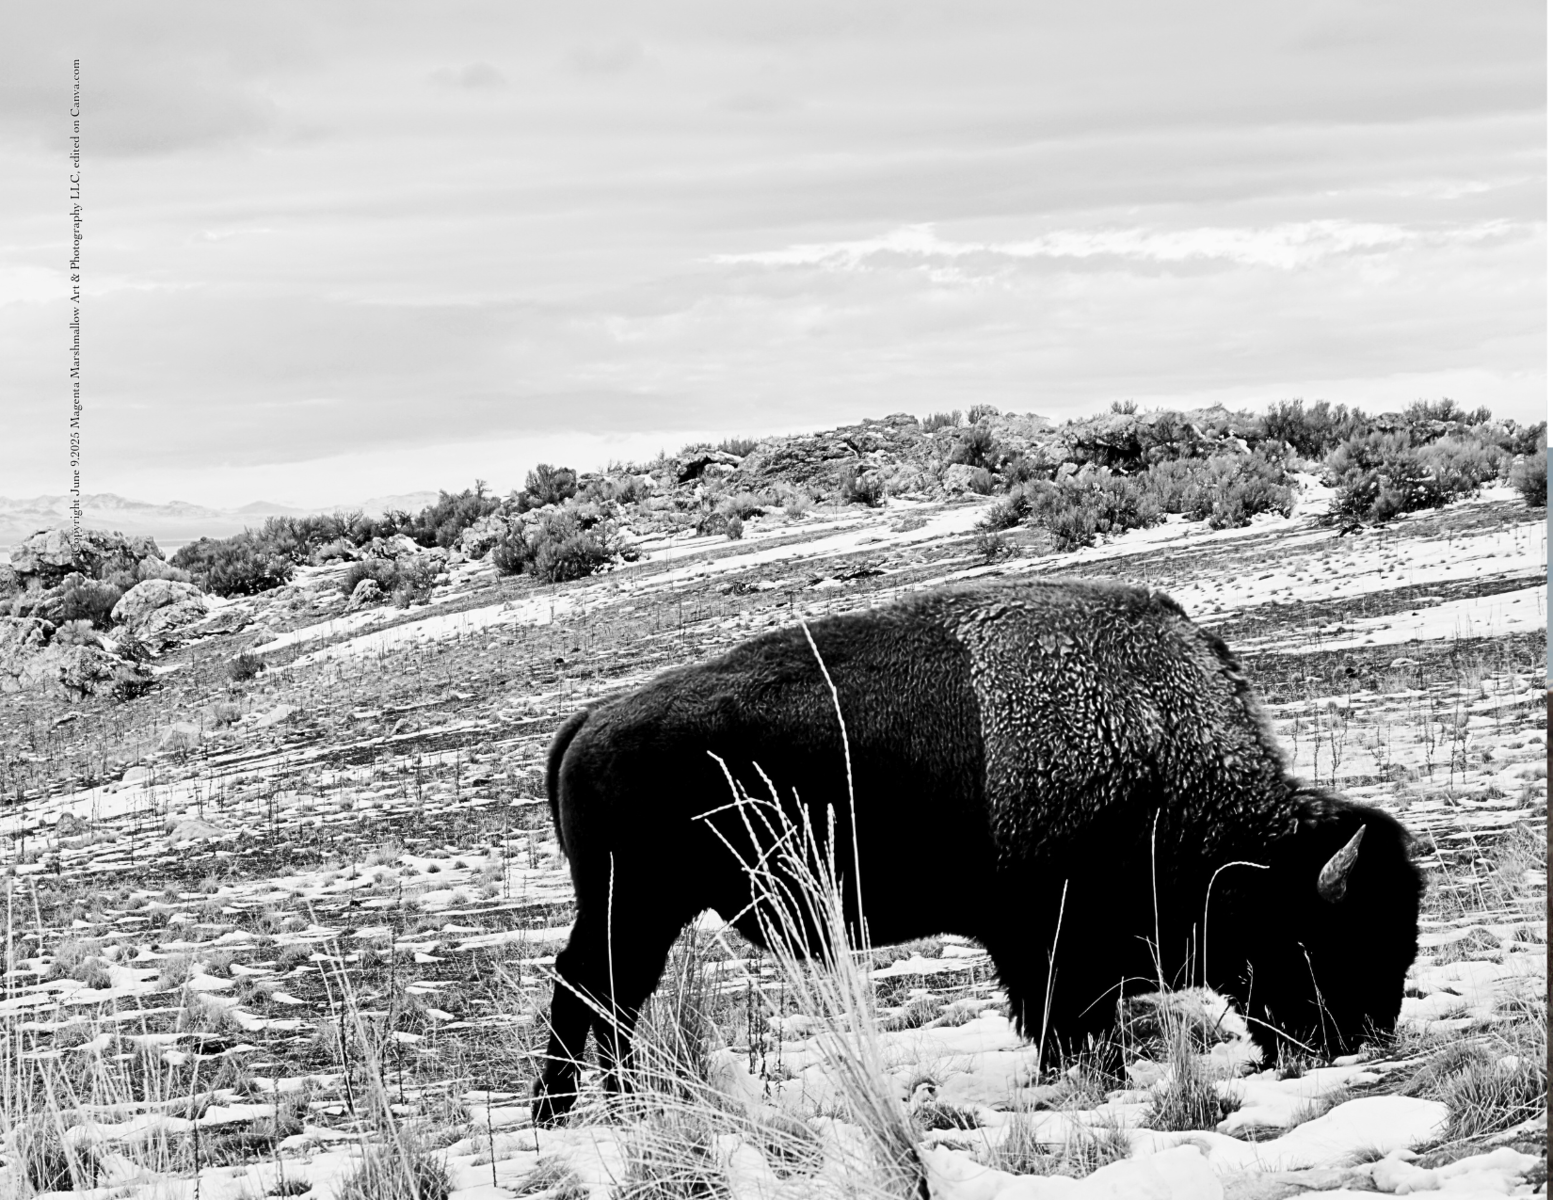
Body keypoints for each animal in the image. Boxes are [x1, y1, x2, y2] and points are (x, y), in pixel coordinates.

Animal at [532, 579, 1421, 1124]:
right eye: (1324, 937)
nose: (1357, 1042)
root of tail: (587, 723)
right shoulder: (1046, 947)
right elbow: (1065, 1023)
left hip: (641, 914)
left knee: (610, 1003)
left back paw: (618, 1108)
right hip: (629, 907)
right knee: (589, 995)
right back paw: (574, 1114)